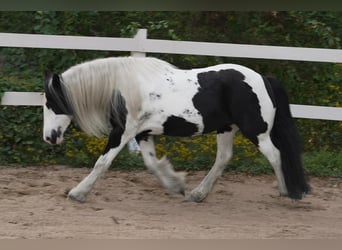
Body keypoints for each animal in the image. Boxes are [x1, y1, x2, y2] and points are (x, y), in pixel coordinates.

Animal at [43, 56, 310, 203]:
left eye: (50, 102)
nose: (49, 138)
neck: (123, 87)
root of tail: (264, 79)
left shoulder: (123, 131)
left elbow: (102, 163)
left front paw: (77, 193)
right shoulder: (143, 133)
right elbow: (151, 164)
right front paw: (176, 184)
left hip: (257, 131)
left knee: (275, 155)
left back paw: (286, 191)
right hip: (226, 129)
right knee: (223, 158)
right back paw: (198, 194)